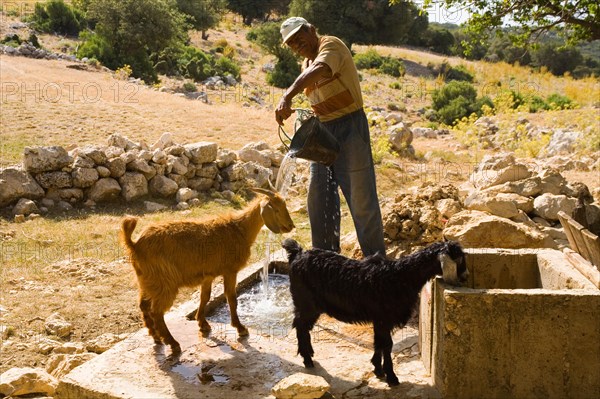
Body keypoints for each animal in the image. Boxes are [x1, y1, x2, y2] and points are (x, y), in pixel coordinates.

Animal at [119, 189, 292, 354]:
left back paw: (156, 337)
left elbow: (205, 297)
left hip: (147, 280)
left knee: (144, 305)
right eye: (276, 209)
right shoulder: (230, 271)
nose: (291, 226)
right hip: (163, 281)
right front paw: (240, 328)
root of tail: (135, 245)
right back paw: (173, 343)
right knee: (157, 312)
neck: (239, 230)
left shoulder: (208, 275)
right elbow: (231, 297)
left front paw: (203, 324)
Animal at [282, 239, 468, 386]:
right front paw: (391, 377)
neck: (400, 277)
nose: (465, 277)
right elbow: (387, 345)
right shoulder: (383, 318)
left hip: (312, 306)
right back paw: (307, 359)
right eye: (458, 259)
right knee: (300, 325)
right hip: (305, 302)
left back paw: (309, 353)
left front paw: (378, 369)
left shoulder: (380, 320)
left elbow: (379, 343)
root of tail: (297, 254)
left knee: (304, 326)